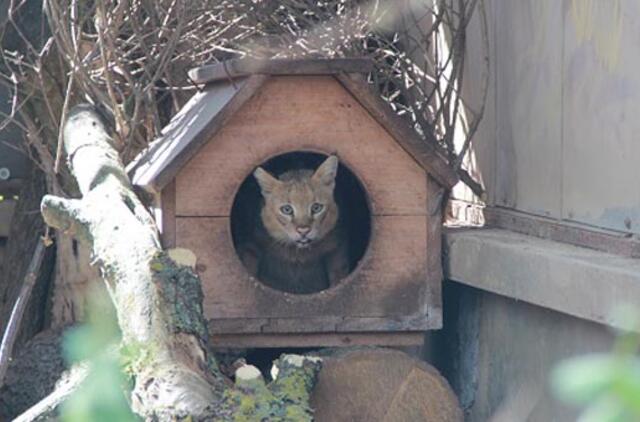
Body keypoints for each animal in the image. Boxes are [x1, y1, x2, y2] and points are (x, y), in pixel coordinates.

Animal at [239, 154, 350, 294]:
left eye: (316, 208)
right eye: (287, 209)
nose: (303, 231)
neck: (298, 253)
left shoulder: (337, 247)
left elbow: (339, 276)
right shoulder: (252, 244)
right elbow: (250, 269)